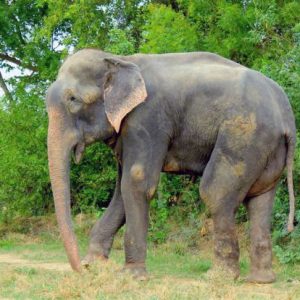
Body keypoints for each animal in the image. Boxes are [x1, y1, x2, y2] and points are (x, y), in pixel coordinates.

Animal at [46, 48, 296, 284]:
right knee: (260, 200)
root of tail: (287, 115)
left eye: (73, 100)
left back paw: (219, 277)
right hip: (267, 148)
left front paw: (131, 276)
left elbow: (136, 182)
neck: (119, 58)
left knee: (215, 192)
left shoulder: (147, 119)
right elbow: (121, 192)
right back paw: (260, 280)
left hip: (244, 135)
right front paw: (95, 264)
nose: (80, 270)